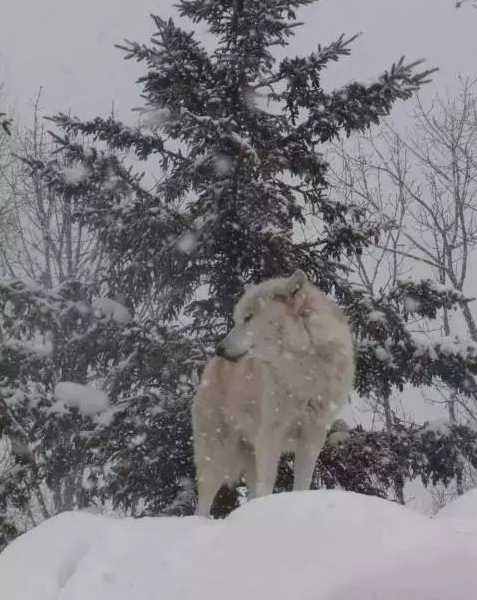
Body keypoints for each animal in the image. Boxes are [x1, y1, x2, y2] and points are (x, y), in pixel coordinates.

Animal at [191, 268, 354, 516]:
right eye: (238, 319)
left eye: (248, 318)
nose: (219, 349)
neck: (304, 370)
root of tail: (209, 369)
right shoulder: (271, 433)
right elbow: (268, 483)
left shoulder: (313, 436)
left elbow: (302, 484)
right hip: (216, 456)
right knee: (203, 503)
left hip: (249, 452)